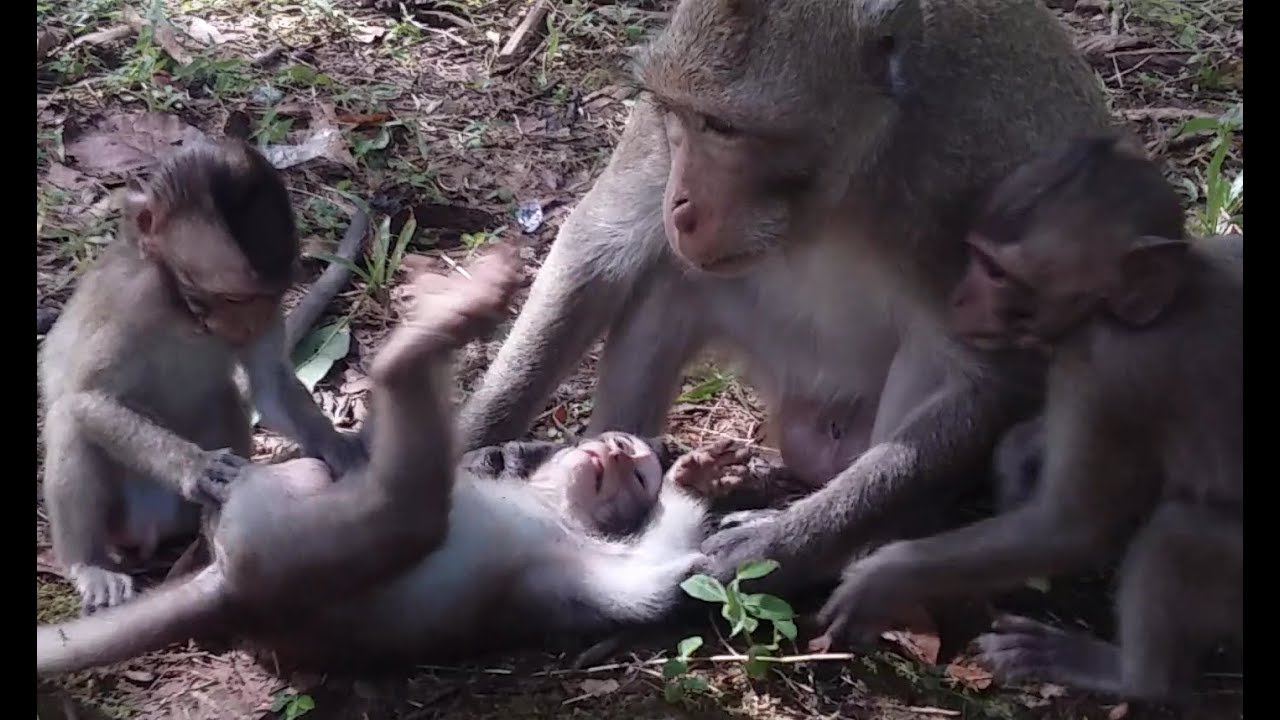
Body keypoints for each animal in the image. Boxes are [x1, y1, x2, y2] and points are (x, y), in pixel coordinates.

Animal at [37, 249, 750, 676]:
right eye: (624, 457)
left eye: (635, 478)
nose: (620, 451)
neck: (556, 510)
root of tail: (232, 594)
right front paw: (694, 475)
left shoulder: (575, 569)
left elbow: (647, 584)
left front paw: (693, 488)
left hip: (282, 549)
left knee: (407, 516)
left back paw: (422, 342)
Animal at [38, 138, 368, 616]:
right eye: (231, 297)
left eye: (264, 298)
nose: (246, 326)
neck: (182, 309)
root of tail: (151, 526)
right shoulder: (131, 296)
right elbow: (88, 397)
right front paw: (196, 466)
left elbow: (270, 387)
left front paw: (337, 446)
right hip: (123, 518)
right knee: (69, 422)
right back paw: (90, 564)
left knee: (223, 396)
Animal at [451, 0, 1113, 593]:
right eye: (679, 115)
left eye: (724, 127)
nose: (681, 204)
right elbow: (599, 251)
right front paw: (466, 449)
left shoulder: (977, 181)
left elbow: (991, 377)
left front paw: (777, 547)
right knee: (674, 281)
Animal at [810, 135, 1242, 705]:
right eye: (975, 254)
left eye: (997, 273)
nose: (957, 298)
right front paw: (1018, 458)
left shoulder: (1102, 363)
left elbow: (1070, 529)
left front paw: (879, 577)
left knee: (1180, 534)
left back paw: (1130, 676)